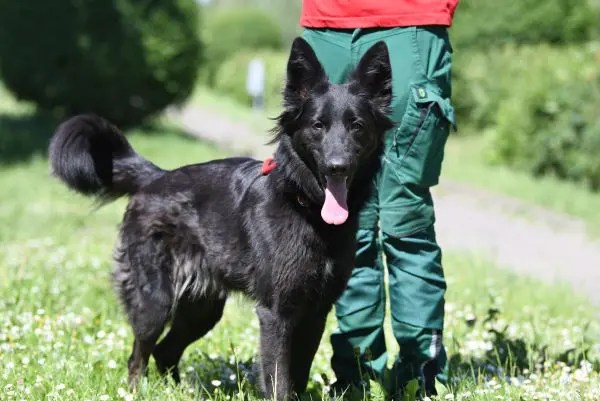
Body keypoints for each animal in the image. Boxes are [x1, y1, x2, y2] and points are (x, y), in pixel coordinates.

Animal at [48, 36, 394, 396]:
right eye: (317, 126)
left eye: (356, 126)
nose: (337, 167)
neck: (305, 206)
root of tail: (156, 177)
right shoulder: (276, 314)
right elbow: (278, 379)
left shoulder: (315, 313)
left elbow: (297, 375)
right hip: (155, 302)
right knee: (138, 356)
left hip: (202, 310)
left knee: (165, 352)